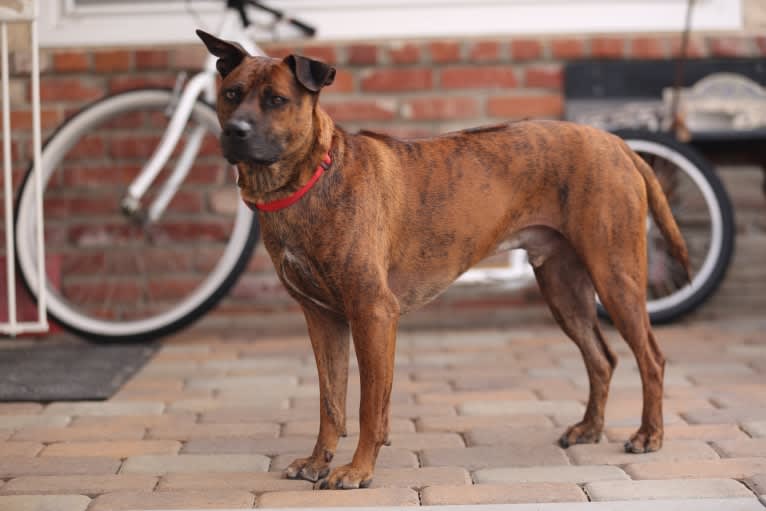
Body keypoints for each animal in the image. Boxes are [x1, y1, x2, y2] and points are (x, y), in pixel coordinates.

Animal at [198, 29, 688, 492]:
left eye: (277, 100)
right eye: (232, 94)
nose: (235, 131)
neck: (310, 179)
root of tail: (616, 142)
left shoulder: (373, 313)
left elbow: (368, 404)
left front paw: (357, 469)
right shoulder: (322, 319)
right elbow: (330, 402)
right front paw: (318, 461)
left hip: (615, 276)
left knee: (652, 358)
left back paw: (649, 434)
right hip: (563, 288)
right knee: (602, 359)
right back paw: (589, 428)